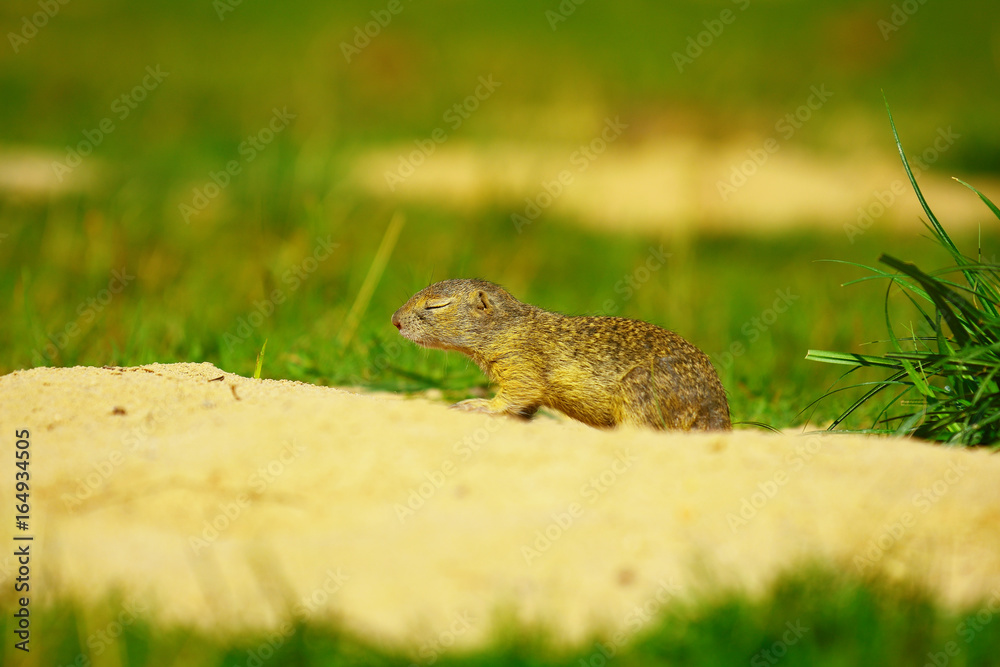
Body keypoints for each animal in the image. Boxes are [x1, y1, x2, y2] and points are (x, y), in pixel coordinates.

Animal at [392, 278, 736, 430]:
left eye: (436, 305)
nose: (394, 320)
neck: (510, 326)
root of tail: (715, 408)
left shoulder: (520, 362)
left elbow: (518, 393)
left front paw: (476, 405)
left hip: (639, 390)